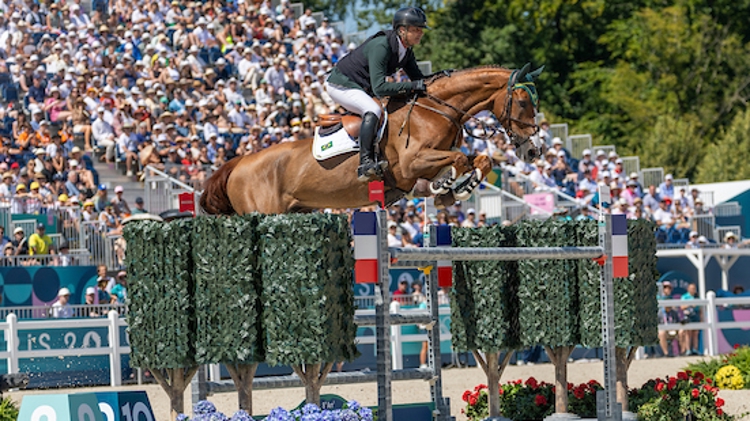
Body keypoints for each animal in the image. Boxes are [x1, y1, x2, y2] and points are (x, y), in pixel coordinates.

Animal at [198, 64, 540, 215]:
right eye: (524, 102)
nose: (533, 152)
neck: (434, 110)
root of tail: (238, 163)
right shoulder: (411, 164)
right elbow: (457, 160)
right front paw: (448, 185)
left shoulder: (425, 165)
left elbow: (481, 159)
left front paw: (459, 187)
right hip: (265, 213)